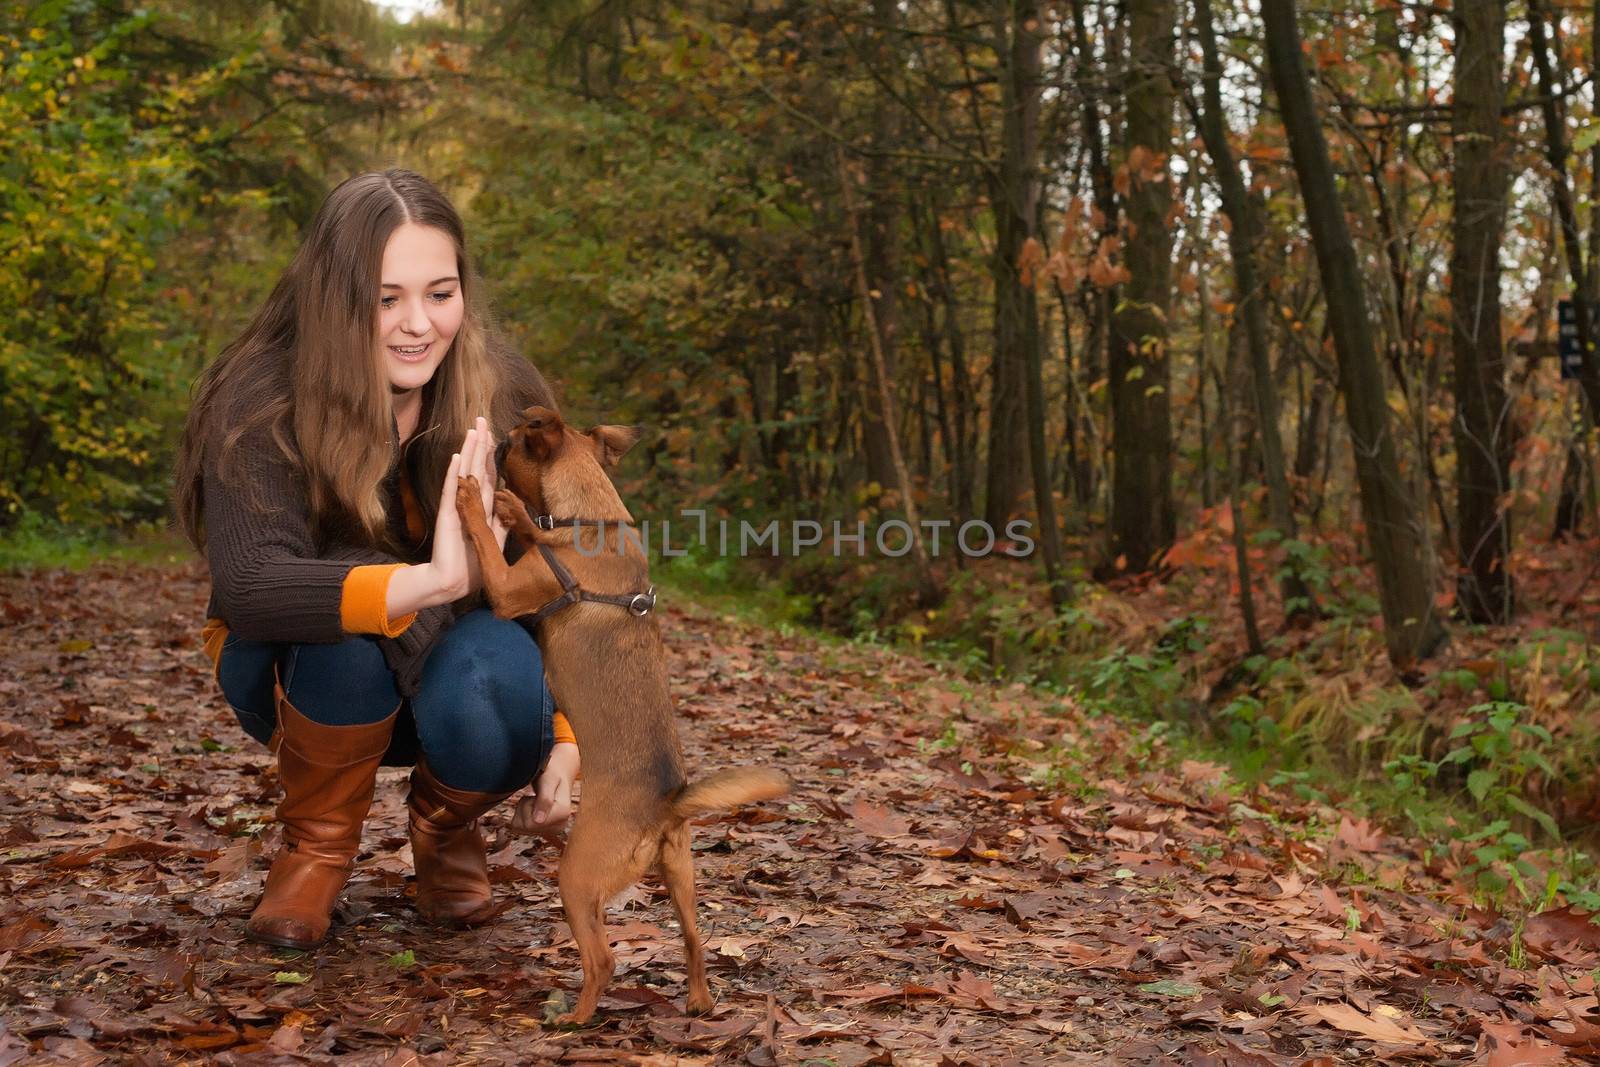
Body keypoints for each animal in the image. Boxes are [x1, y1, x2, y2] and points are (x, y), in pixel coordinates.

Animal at [457, 404, 793, 1023]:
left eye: (511, 443)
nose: (495, 444)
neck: (595, 519)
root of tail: (666, 804)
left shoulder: (511, 590)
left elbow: (498, 546)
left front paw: (484, 502)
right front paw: (514, 511)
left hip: (576, 877)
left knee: (604, 960)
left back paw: (574, 1018)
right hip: (681, 877)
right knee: (694, 941)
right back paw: (699, 1002)